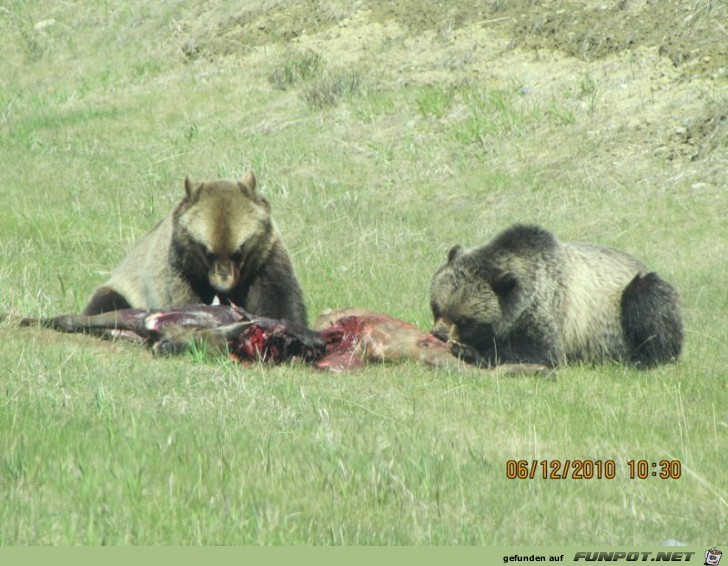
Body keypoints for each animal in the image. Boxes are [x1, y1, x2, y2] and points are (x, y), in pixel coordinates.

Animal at [430, 224, 680, 370]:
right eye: (436, 308)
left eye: (464, 321)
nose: (439, 334)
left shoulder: (546, 307)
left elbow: (540, 351)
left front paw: (468, 351)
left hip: (622, 307)